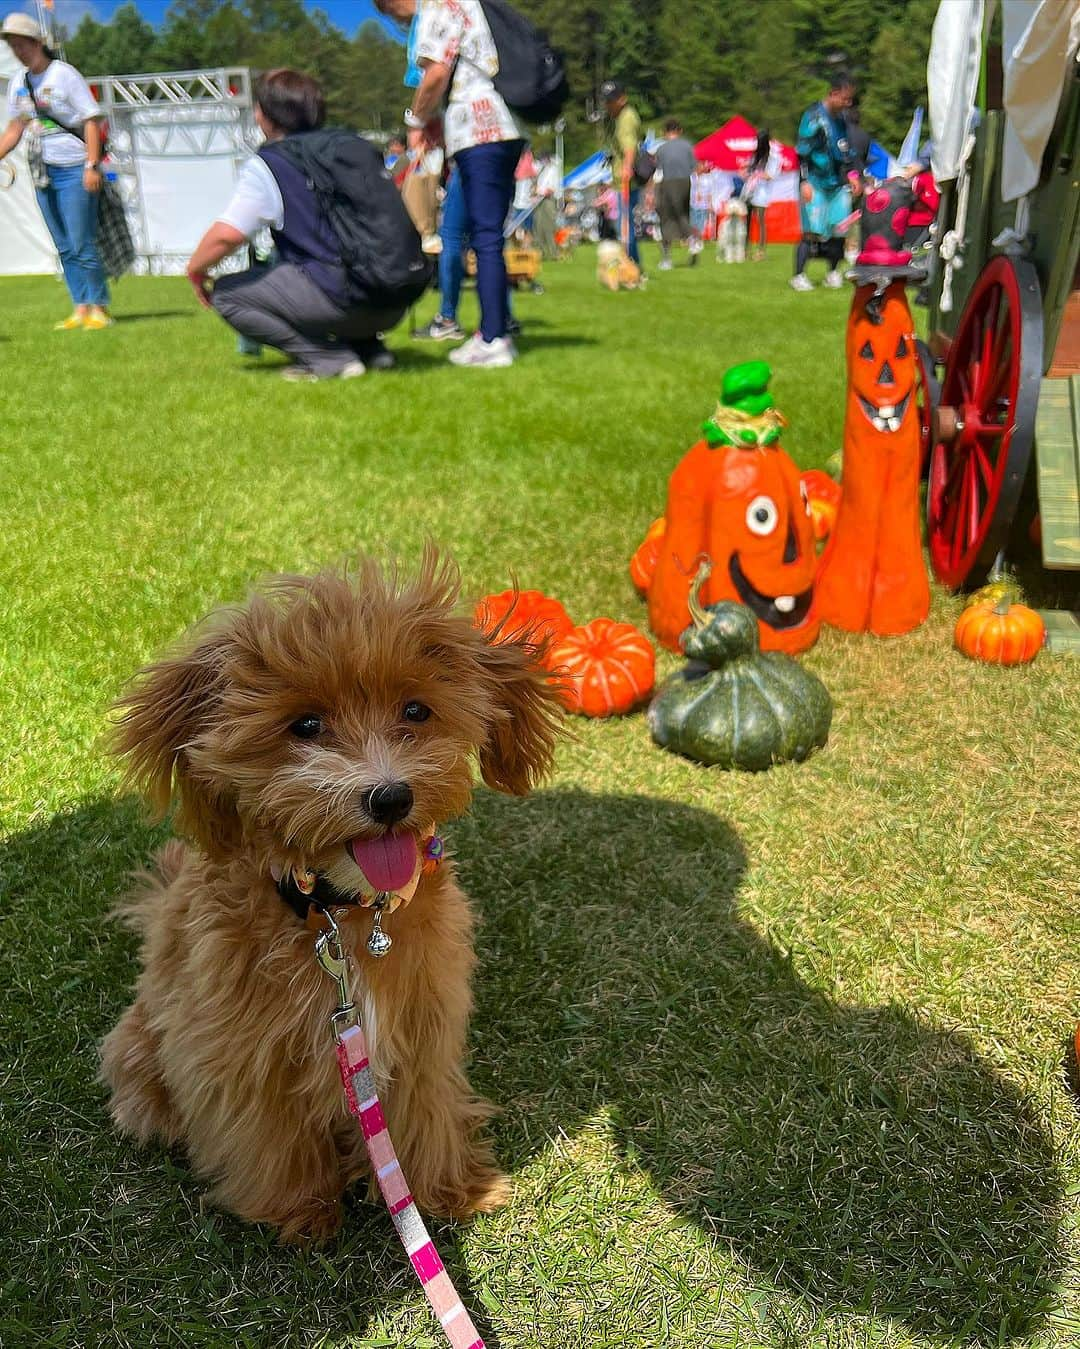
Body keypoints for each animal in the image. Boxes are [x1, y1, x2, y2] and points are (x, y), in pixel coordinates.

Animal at [99, 547, 563, 1241]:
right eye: (306, 724)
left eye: (416, 711)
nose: (389, 797)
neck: (340, 913)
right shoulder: (234, 1041)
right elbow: (266, 1130)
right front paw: (298, 1210)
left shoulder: (424, 1023)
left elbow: (423, 1107)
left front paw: (447, 1190)